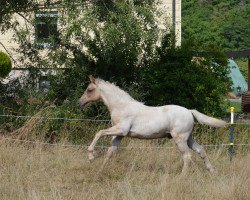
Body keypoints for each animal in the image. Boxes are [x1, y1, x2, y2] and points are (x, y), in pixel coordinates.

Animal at [78, 76, 227, 173]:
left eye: (89, 89)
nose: (79, 103)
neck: (122, 106)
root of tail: (189, 111)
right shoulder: (119, 135)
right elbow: (110, 152)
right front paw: (100, 170)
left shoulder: (121, 130)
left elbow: (99, 132)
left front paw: (91, 156)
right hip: (188, 138)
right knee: (201, 150)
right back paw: (212, 170)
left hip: (180, 139)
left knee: (187, 156)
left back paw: (182, 176)